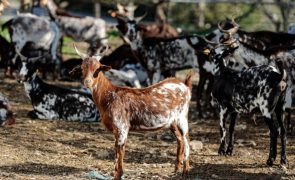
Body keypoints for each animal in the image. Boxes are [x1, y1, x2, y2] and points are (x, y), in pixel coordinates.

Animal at [74, 44, 193, 179]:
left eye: (98, 69)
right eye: (82, 68)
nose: (87, 82)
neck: (109, 95)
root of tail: (185, 85)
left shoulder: (122, 127)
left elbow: (119, 152)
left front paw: (119, 175)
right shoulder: (117, 129)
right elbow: (118, 151)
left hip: (182, 116)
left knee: (186, 139)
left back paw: (186, 170)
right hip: (171, 121)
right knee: (180, 139)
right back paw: (177, 168)